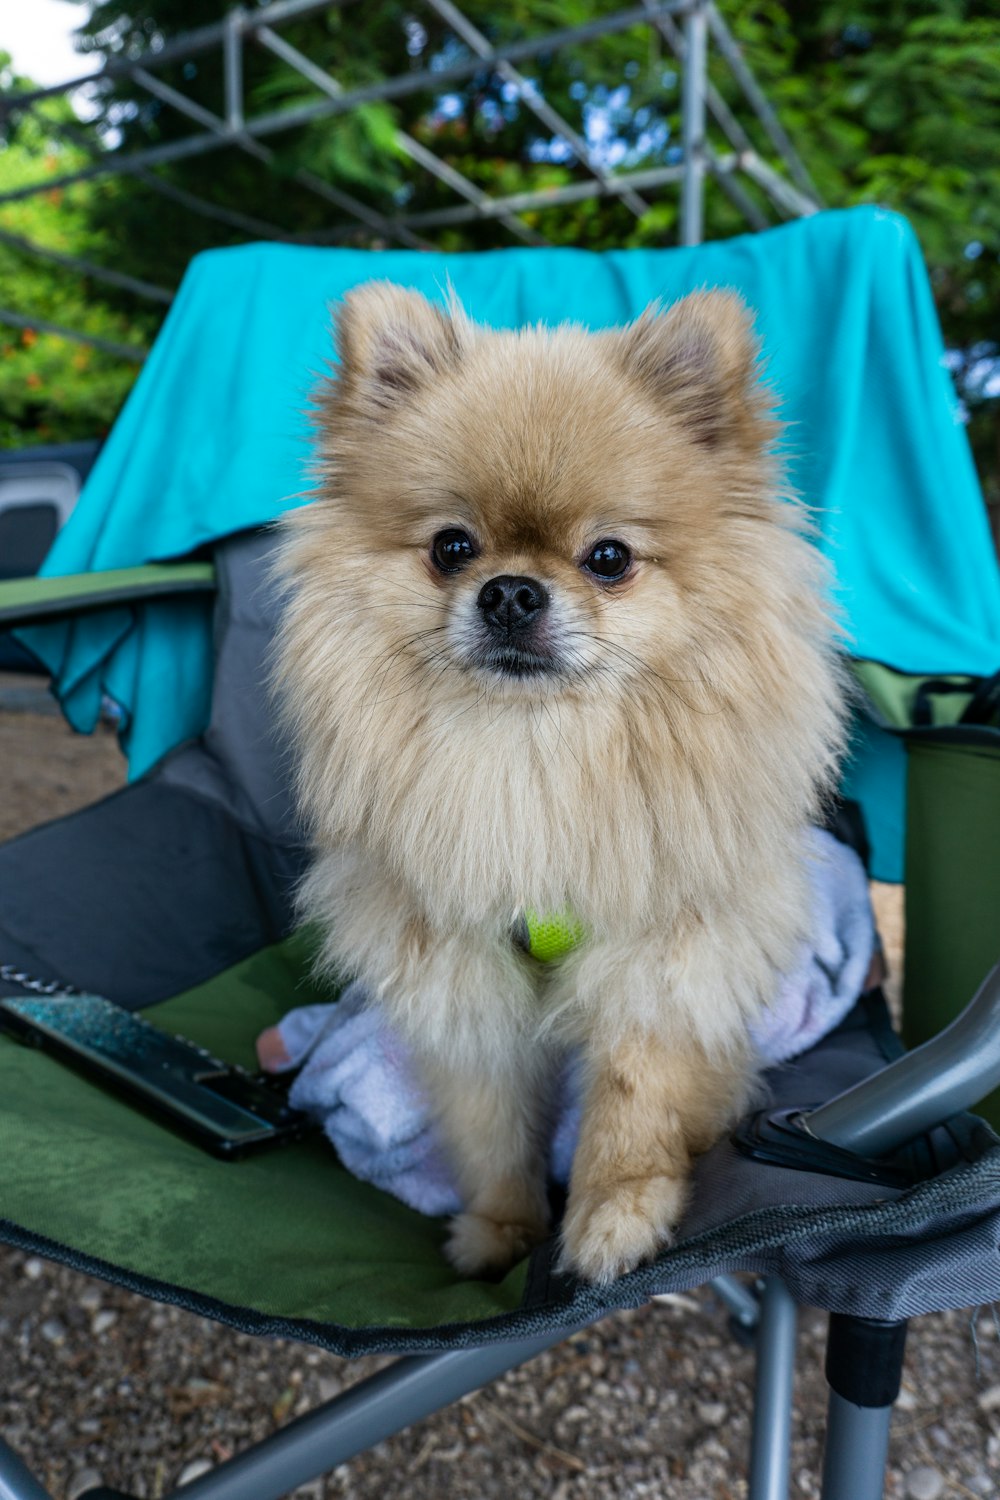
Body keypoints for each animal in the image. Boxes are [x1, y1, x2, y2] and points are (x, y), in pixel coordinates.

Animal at [271, 283, 845, 1290]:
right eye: (451, 547)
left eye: (608, 557)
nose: (509, 592)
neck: (532, 760)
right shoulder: (463, 977)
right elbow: (492, 1128)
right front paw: (503, 1230)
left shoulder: (662, 961)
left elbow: (632, 1102)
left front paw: (615, 1219)